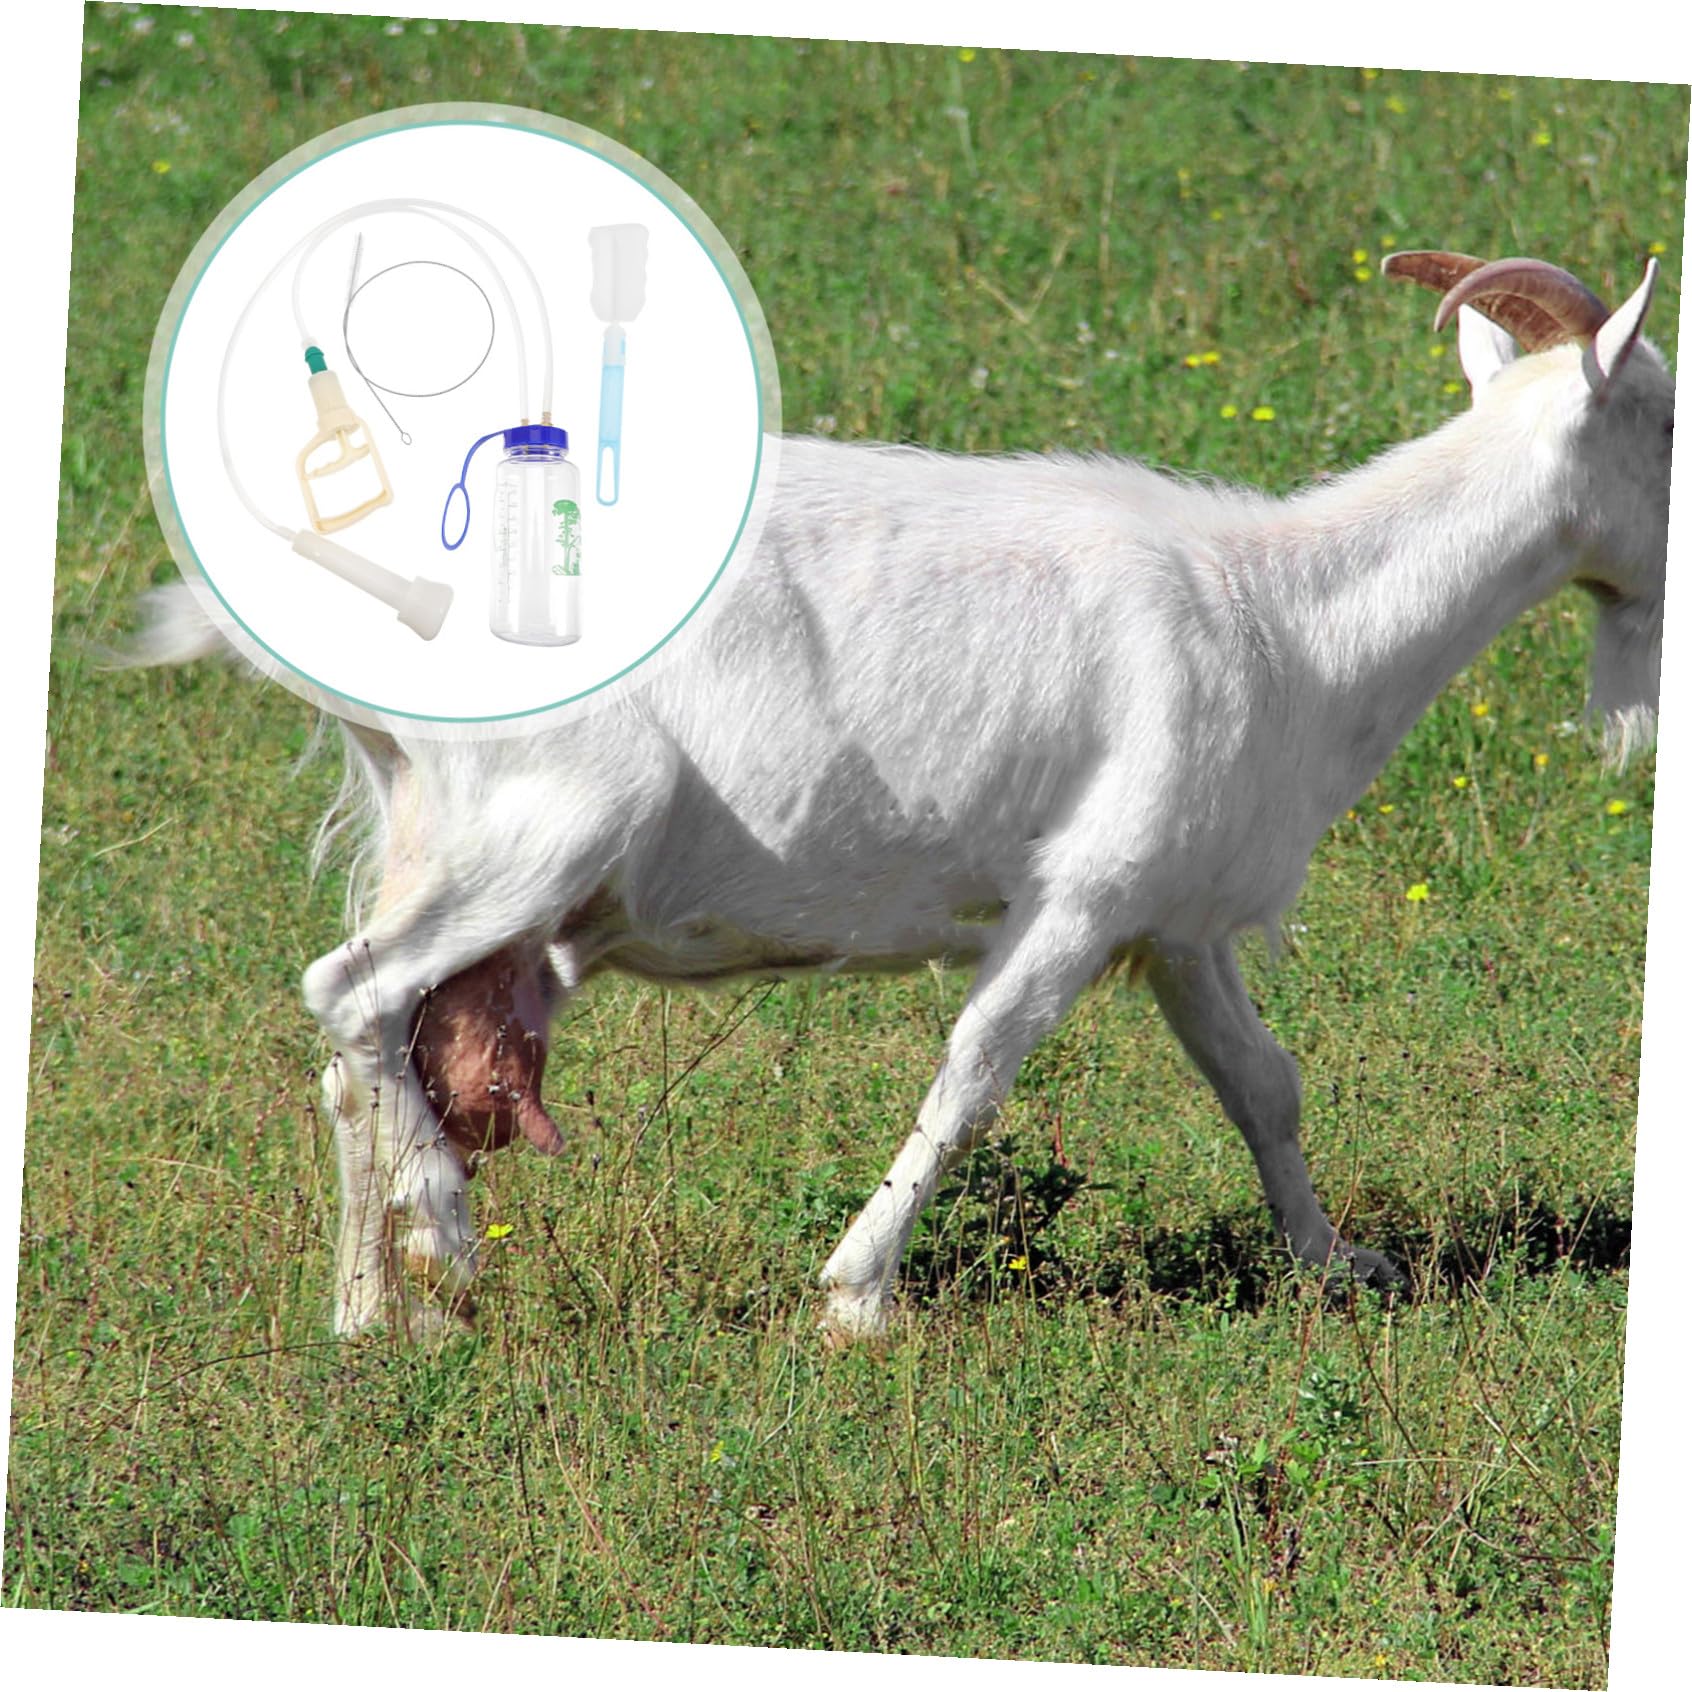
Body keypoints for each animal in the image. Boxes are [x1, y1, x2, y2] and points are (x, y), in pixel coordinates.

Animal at [164, 249, 1671, 1341]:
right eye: (1664, 418)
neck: (1287, 620)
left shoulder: (1174, 915)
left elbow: (1266, 1085)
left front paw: (1334, 1262)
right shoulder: (1082, 894)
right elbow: (976, 1071)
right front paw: (858, 1298)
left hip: (439, 834)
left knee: (364, 1047)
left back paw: (372, 1315)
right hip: (538, 827)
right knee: (350, 992)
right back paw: (445, 1236)